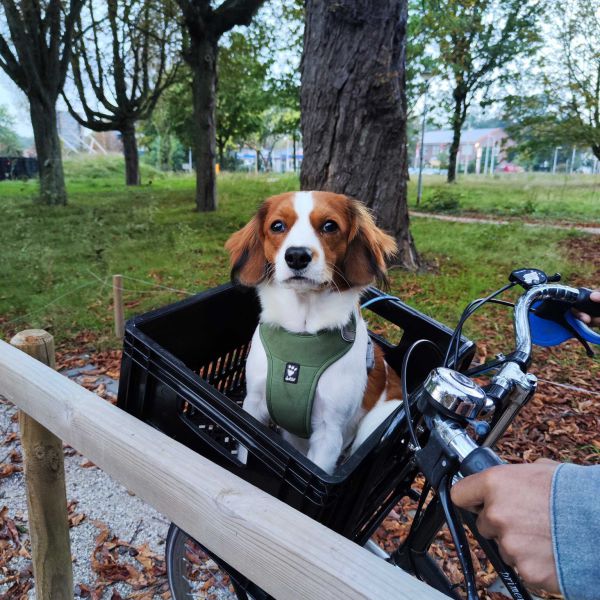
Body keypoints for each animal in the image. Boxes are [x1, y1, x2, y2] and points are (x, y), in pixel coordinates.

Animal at [225, 192, 404, 474]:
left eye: (330, 226)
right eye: (277, 226)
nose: (297, 256)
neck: (302, 333)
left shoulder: (329, 433)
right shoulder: (251, 407)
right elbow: (245, 455)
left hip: (373, 423)